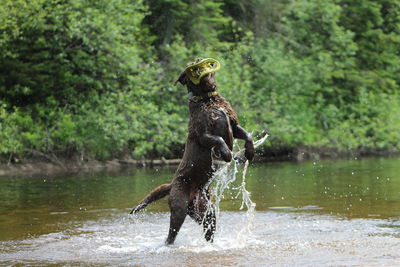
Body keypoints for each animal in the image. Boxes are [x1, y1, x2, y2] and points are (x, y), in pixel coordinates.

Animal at [131, 58, 256, 245]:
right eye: (193, 64)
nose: (198, 62)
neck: (207, 99)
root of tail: (171, 185)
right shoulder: (203, 135)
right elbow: (219, 140)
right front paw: (227, 154)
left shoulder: (233, 125)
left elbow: (247, 134)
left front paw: (250, 152)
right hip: (179, 208)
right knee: (171, 234)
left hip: (206, 211)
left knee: (209, 229)